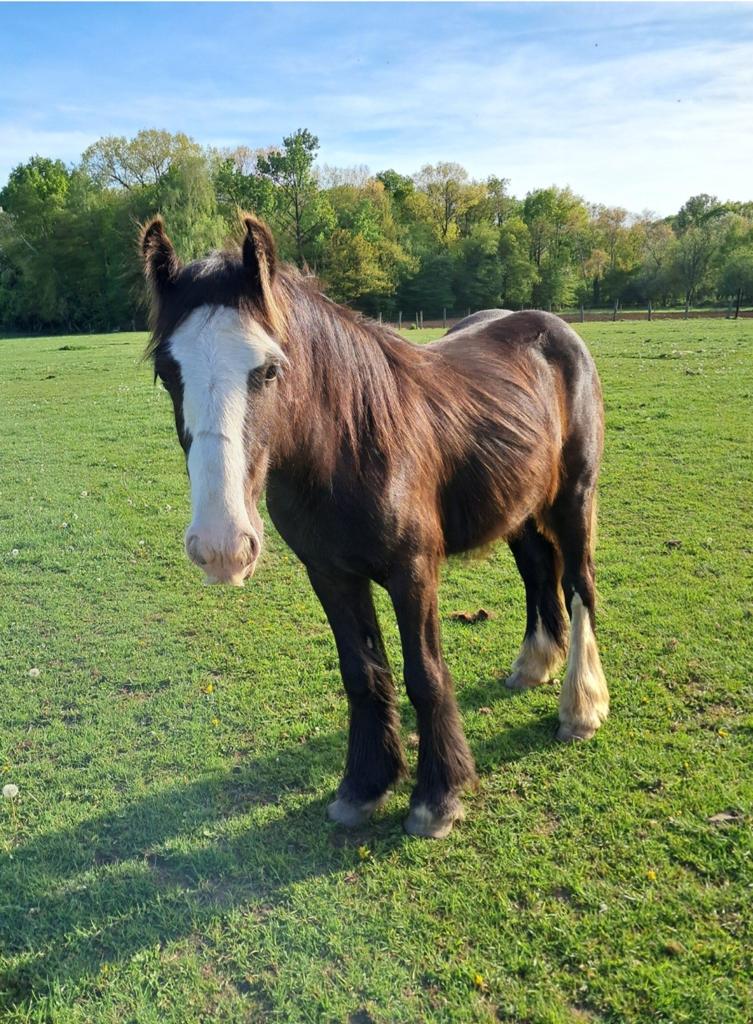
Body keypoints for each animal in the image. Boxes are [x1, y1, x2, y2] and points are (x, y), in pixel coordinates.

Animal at [140, 214, 609, 839]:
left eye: (269, 369)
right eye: (168, 371)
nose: (222, 547)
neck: (348, 449)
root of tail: (553, 328)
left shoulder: (413, 573)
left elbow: (424, 675)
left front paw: (437, 798)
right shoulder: (331, 575)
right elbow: (362, 675)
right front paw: (365, 787)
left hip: (573, 498)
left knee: (579, 584)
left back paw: (581, 708)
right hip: (520, 509)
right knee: (539, 571)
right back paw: (535, 663)